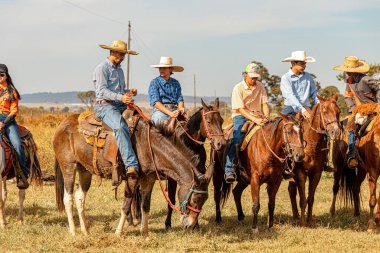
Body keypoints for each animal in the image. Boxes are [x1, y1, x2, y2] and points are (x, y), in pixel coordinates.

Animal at [53, 106, 214, 235]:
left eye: (205, 199)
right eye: (195, 199)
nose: (190, 225)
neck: (148, 146)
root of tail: (61, 126)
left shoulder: (148, 179)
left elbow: (145, 206)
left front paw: (145, 233)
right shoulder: (132, 178)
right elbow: (125, 206)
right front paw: (118, 233)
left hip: (84, 170)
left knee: (80, 198)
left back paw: (85, 231)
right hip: (69, 167)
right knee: (68, 198)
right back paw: (73, 231)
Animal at [163, 99, 226, 231]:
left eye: (221, 121)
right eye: (209, 121)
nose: (221, 144)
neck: (189, 143)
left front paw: (196, 225)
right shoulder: (172, 177)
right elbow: (171, 199)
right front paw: (167, 224)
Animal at [288, 94, 342, 225]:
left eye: (338, 111)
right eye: (325, 111)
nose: (336, 131)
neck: (311, 143)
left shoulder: (316, 173)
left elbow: (310, 198)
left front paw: (309, 221)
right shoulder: (300, 173)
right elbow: (302, 199)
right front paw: (303, 223)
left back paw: (296, 215)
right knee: (292, 191)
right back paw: (296, 217)